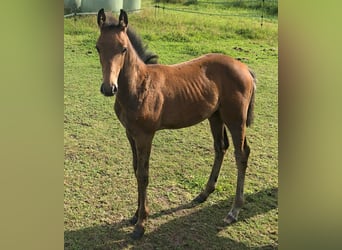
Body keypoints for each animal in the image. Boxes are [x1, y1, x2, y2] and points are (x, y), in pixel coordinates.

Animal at [96, 9, 256, 240]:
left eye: (123, 48)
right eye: (98, 47)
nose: (109, 88)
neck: (139, 86)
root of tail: (245, 68)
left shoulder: (145, 135)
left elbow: (143, 175)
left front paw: (141, 224)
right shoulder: (130, 133)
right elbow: (135, 169)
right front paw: (135, 215)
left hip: (235, 119)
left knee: (241, 153)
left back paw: (233, 211)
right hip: (215, 116)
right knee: (220, 147)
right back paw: (203, 194)